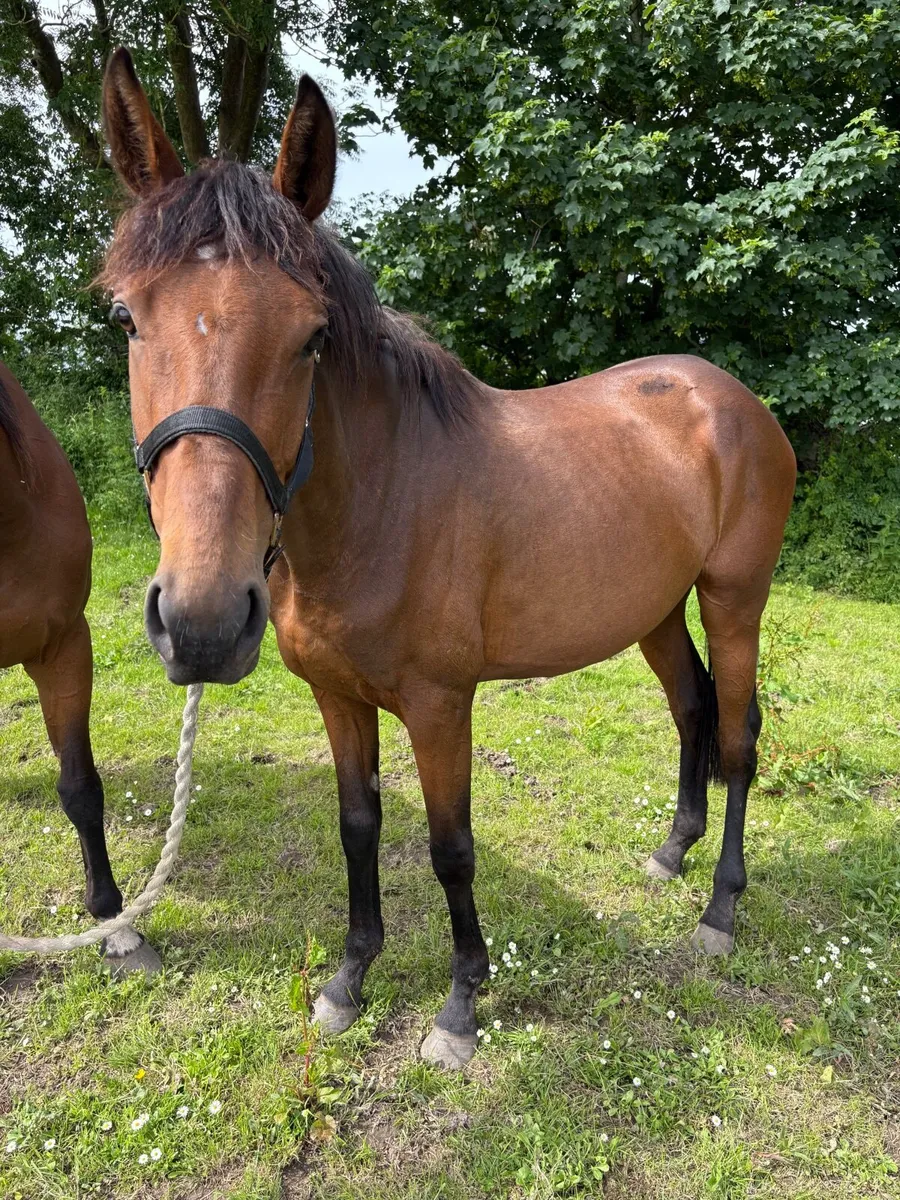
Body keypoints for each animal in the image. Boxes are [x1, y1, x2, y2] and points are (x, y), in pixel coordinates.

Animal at [99, 47, 796, 1069]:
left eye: (312, 336)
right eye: (127, 320)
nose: (201, 623)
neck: (380, 508)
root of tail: (733, 400)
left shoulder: (439, 706)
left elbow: (450, 845)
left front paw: (460, 1005)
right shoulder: (338, 698)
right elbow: (358, 829)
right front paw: (348, 981)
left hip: (735, 599)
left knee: (739, 736)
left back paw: (719, 910)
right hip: (657, 613)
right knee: (690, 710)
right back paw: (673, 853)